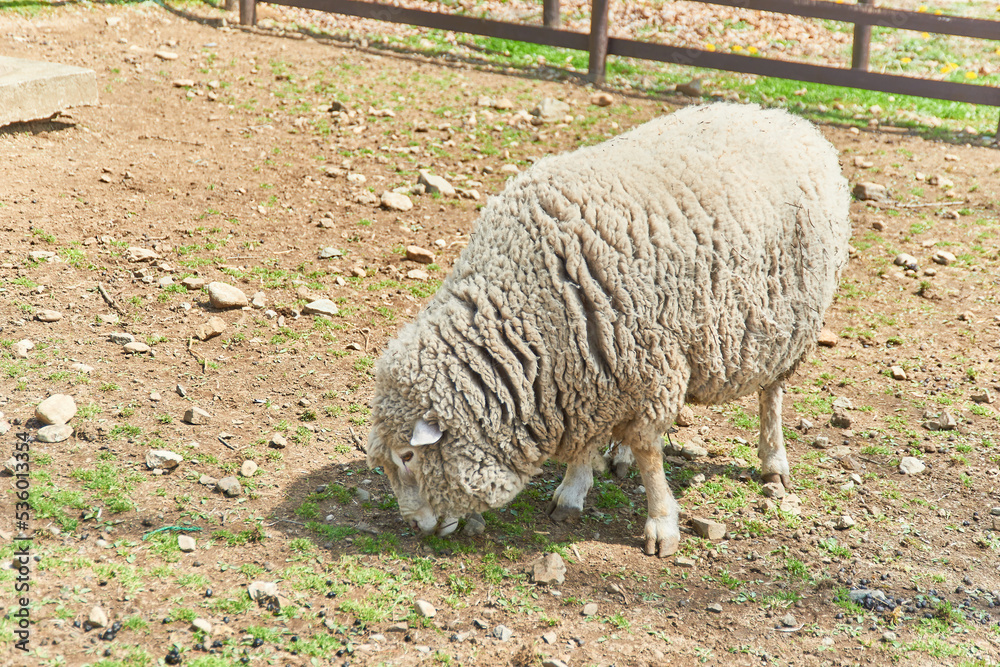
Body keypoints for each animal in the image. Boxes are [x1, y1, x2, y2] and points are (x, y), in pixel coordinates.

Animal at [368, 102, 852, 556]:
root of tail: (784, 117)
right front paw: (572, 490)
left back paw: (774, 461)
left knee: (771, 395)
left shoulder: (650, 362)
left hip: (789, 327)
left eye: (408, 455)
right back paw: (618, 457)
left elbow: (649, 451)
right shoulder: (586, 374)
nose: (414, 525)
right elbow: (591, 441)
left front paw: (661, 523)